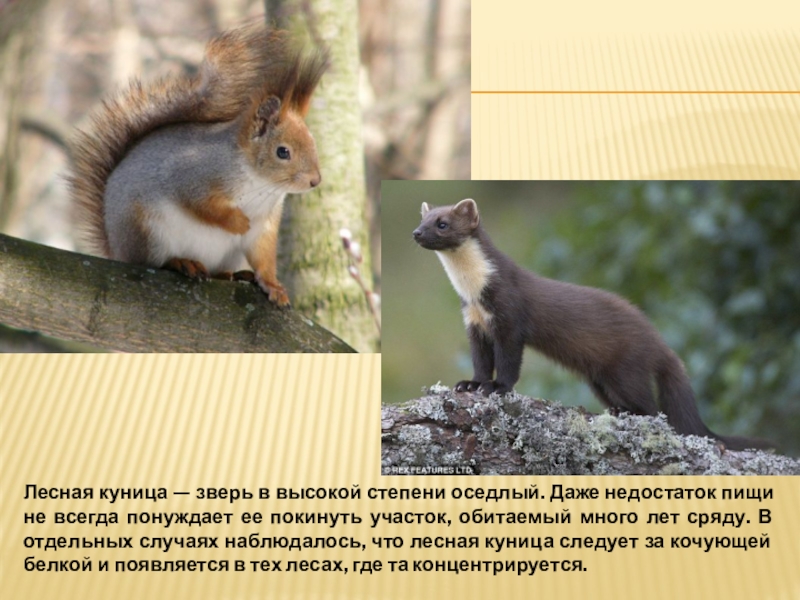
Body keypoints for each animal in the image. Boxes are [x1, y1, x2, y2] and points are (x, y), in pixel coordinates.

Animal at [68, 24, 328, 307]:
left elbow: (263, 256)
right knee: (153, 262)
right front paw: (237, 222)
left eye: (313, 142)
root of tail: (118, 249)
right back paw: (182, 262)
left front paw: (272, 285)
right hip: (147, 230)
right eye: (283, 152)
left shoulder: (266, 224)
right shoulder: (192, 175)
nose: (315, 181)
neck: (259, 183)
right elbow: (201, 205)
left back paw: (234, 275)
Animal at [413, 198, 772, 451]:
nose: (416, 233)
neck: (473, 291)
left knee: (653, 409)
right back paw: (618, 412)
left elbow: (509, 361)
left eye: (442, 223)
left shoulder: (509, 318)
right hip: (600, 378)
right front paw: (470, 384)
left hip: (627, 370)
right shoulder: (474, 323)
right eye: (422, 219)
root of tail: (658, 340)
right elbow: (480, 360)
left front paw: (497, 387)